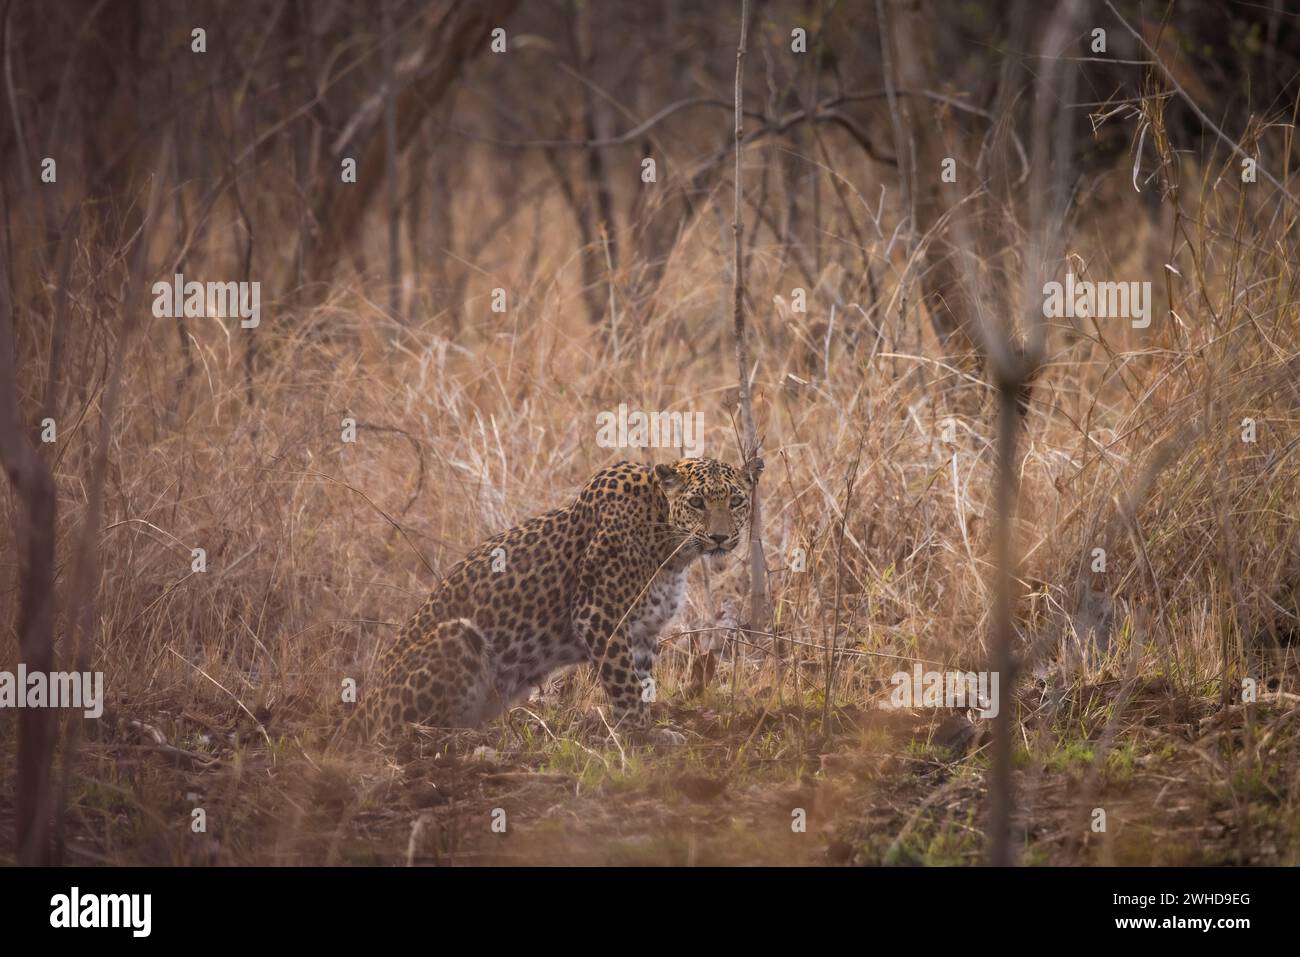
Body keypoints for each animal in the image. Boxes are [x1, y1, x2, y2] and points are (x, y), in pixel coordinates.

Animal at [348, 460, 759, 743]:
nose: (720, 537)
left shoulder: (643, 631)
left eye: (737, 500)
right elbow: (625, 684)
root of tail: (364, 704)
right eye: (697, 502)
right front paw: (641, 735)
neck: (672, 551)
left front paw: (648, 728)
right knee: (403, 727)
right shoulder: (599, 616)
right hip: (457, 634)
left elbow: (642, 681)